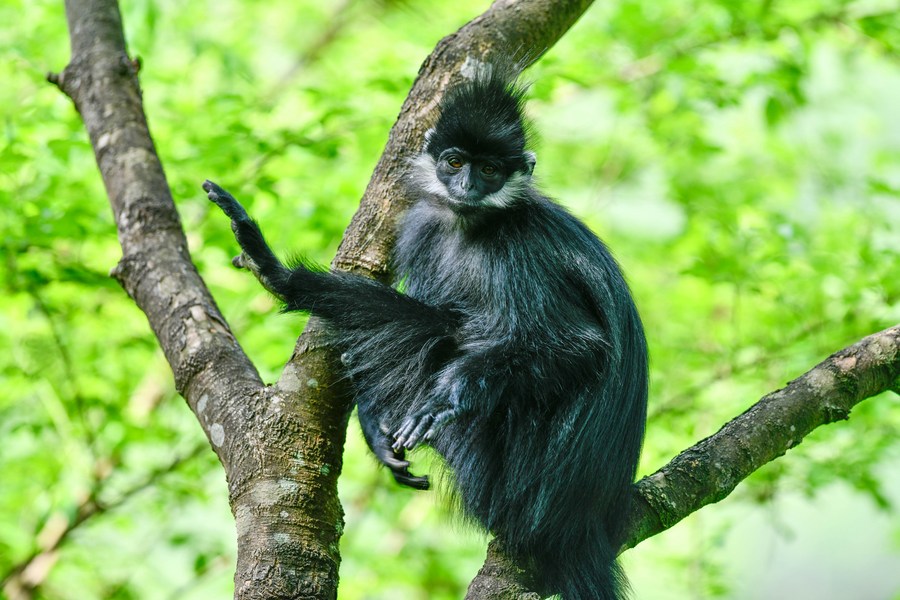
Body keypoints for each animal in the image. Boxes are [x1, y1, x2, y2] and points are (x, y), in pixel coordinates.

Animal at [206, 65, 648, 600]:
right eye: (455, 162)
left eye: (490, 169)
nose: (467, 185)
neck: (471, 223)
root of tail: (578, 528)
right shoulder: (420, 227)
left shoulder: (522, 248)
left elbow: (578, 346)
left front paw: (444, 398)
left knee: (438, 330)